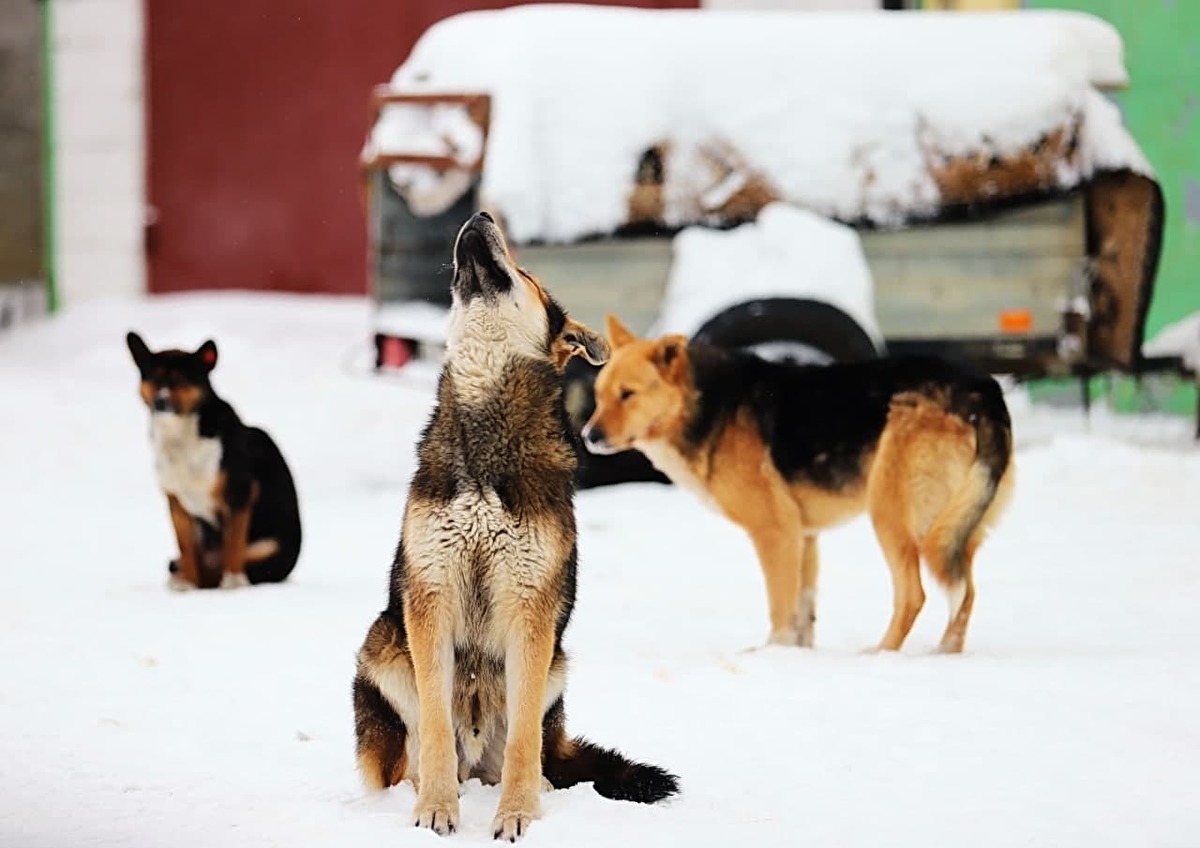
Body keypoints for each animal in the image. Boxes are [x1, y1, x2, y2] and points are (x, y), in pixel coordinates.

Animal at [124, 331, 302, 590]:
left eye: (182, 380)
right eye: (154, 378)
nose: (161, 402)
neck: (182, 437)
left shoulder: (239, 494)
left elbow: (233, 545)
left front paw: (234, 582)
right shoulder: (176, 503)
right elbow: (185, 547)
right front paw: (187, 584)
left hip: (267, 547)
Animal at [350, 213, 681, 844]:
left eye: (526, 272)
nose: (481, 216)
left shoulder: (530, 608)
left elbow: (524, 738)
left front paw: (518, 814)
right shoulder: (430, 596)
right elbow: (435, 726)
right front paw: (436, 809)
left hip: (557, 662)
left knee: (533, 752)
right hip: (382, 643)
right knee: (406, 759)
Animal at [580, 314, 1012, 652]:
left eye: (628, 395)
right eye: (599, 396)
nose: (588, 436)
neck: (708, 407)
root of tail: (983, 391)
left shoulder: (776, 531)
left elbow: (781, 608)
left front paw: (772, 654)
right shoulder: (804, 535)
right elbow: (803, 612)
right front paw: (797, 657)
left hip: (891, 516)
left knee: (913, 596)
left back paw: (881, 654)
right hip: (957, 528)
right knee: (965, 595)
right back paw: (944, 654)